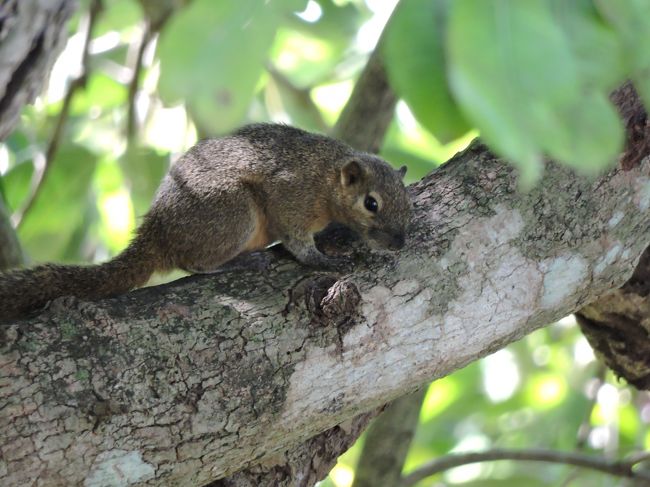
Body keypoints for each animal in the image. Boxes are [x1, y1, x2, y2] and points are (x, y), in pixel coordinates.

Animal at [0, 123, 410, 320]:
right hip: (232, 212)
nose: (400, 242)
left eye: (406, 200)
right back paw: (241, 261)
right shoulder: (291, 196)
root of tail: (157, 233)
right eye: (371, 203)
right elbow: (297, 241)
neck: (326, 178)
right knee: (193, 262)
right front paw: (323, 259)